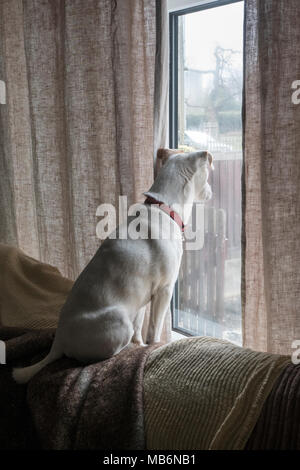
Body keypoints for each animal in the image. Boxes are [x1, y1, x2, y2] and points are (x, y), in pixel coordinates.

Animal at [12, 151, 212, 382]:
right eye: (207, 175)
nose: (211, 192)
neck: (163, 208)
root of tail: (59, 340)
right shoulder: (164, 290)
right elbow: (154, 330)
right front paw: (153, 347)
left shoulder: (142, 299)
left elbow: (139, 329)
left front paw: (140, 345)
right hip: (119, 321)